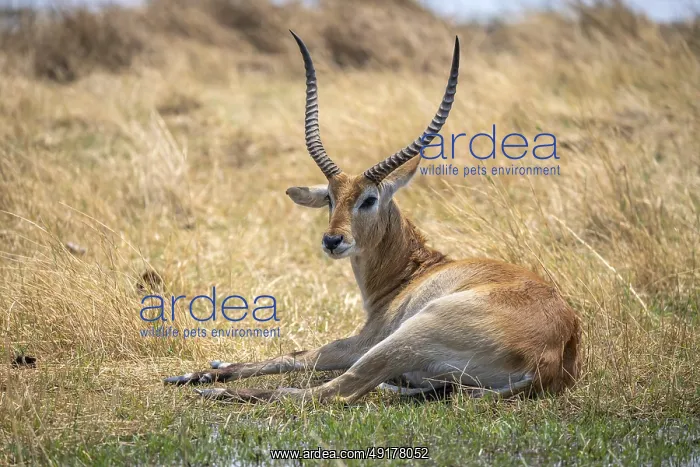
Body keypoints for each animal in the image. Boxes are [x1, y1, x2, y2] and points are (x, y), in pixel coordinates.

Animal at [164, 31, 581, 403]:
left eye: (368, 199)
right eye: (330, 198)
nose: (333, 240)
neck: (411, 274)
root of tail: (552, 356)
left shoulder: (361, 341)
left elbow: (300, 355)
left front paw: (202, 375)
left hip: (405, 337)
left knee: (332, 392)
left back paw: (216, 392)